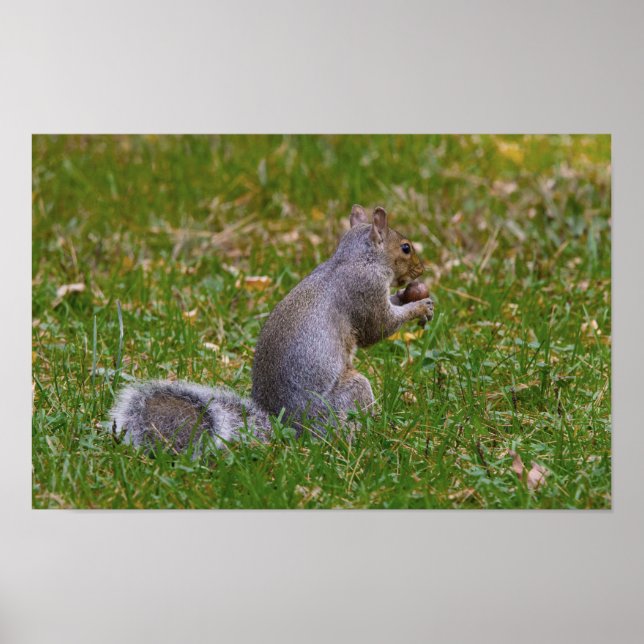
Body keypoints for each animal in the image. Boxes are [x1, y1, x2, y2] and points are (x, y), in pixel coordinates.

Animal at [110, 205, 433, 451]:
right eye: (405, 248)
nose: (422, 269)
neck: (356, 257)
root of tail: (285, 426)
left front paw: (408, 295)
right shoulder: (365, 291)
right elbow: (378, 328)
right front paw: (420, 305)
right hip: (346, 398)